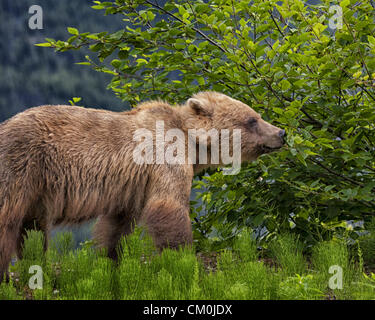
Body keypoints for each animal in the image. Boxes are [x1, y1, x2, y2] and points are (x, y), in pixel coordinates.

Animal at [0, 91, 284, 278]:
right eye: (252, 119)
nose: (281, 133)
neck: (192, 143)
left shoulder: (132, 186)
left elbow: (117, 225)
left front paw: (110, 260)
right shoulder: (166, 156)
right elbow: (167, 206)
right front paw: (184, 260)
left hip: (37, 189)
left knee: (33, 228)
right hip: (21, 165)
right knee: (8, 220)